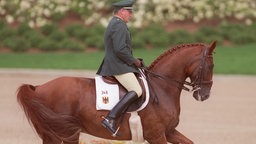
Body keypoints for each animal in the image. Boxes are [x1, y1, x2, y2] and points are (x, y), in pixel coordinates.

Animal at [16, 41, 216, 143]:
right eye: (211, 66)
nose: (204, 95)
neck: (162, 87)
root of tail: (39, 88)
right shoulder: (157, 135)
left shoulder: (169, 132)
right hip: (62, 133)